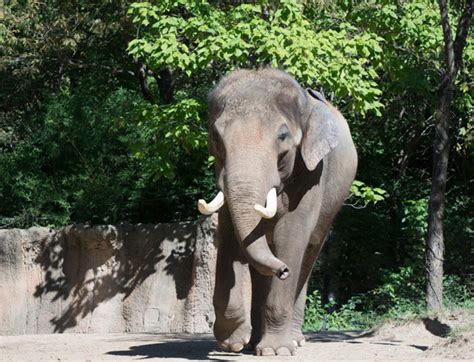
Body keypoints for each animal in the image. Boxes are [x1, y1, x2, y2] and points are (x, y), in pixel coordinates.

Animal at [198, 68, 358, 356]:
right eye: (216, 137)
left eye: (282, 137)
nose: (282, 271)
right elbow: (231, 238)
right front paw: (231, 342)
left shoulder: (312, 174)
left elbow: (290, 236)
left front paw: (277, 351)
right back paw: (253, 343)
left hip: (330, 210)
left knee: (306, 259)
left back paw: (292, 341)